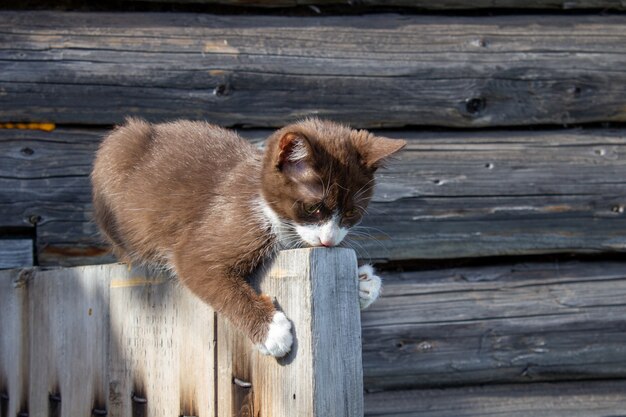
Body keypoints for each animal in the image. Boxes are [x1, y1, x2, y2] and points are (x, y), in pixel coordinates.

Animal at [92, 116, 404, 354]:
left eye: (352, 213)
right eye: (313, 208)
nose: (329, 240)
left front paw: (364, 283)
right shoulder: (227, 223)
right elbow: (198, 265)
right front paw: (272, 331)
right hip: (117, 156)